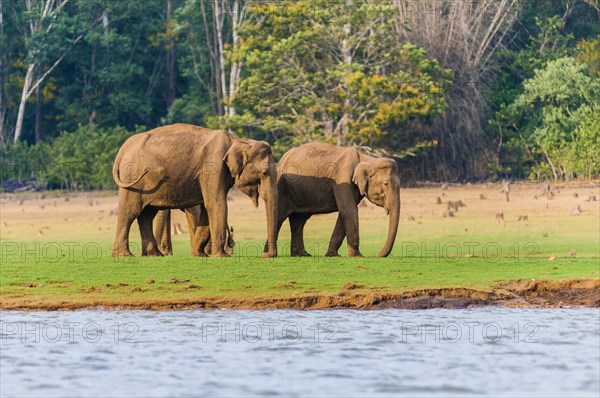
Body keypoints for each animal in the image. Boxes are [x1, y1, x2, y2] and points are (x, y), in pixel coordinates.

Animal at [111, 124, 278, 258]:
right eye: (264, 173)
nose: (265, 255)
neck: (236, 140)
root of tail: (123, 149)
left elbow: (206, 208)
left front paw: (199, 255)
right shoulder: (213, 168)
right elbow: (216, 204)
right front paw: (221, 256)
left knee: (147, 215)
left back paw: (155, 255)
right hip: (132, 178)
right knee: (130, 212)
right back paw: (124, 255)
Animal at [264, 143, 400, 258]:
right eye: (386, 184)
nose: (377, 255)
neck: (368, 159)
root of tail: (283, 158)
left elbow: (344, 213)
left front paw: (332, 255)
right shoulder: (343, 179)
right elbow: (349, 210)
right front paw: (357, 256)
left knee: (299, 220)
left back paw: (301, 255)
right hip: (282, 187)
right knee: (280, 216)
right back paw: (268, 254)